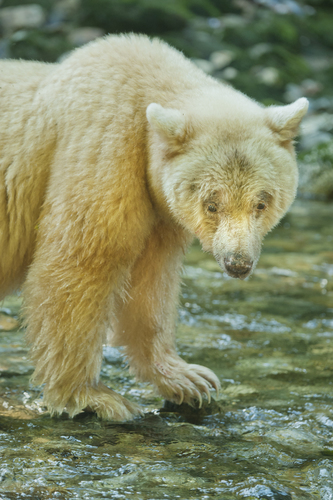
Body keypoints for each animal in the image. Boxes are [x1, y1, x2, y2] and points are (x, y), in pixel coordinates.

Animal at [0, 33, 308, 420]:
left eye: (261, 203)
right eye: (212, 204)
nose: (238, 263)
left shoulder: (159, 211)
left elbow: (151, 284)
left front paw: (189, 380)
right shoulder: (103, 148)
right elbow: (82, 261)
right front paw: (92, 396)